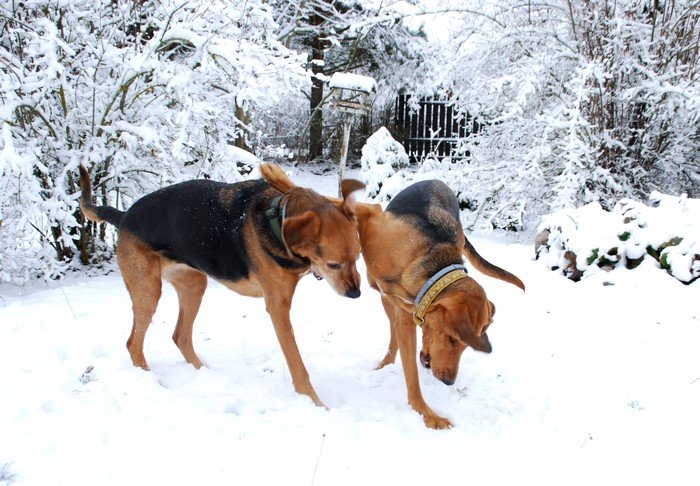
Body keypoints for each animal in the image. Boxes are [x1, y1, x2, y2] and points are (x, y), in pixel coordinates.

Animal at [80, 165, 366, 408]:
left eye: (357, 258)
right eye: (333, 264)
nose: (356, 294)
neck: (275, 219)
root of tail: (124, 216)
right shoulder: (278, 308)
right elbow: (297, 364)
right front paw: (315, 404)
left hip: (194, 284)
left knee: (180, 336)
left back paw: (203, 373)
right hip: (148, 291)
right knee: (133, 344)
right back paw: (152, 382)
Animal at [262, 164, 524, 430]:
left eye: (464, 345)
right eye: (453, 338)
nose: (449, 382)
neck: (428, 266)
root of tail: (439, 182)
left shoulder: (409, 319)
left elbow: (411, 374)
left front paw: (425, 413)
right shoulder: (371, 212)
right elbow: (333, 201)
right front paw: (276, 176)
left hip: (387, 301)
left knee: (393, 334)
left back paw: (384, 365)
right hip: (384, 297)